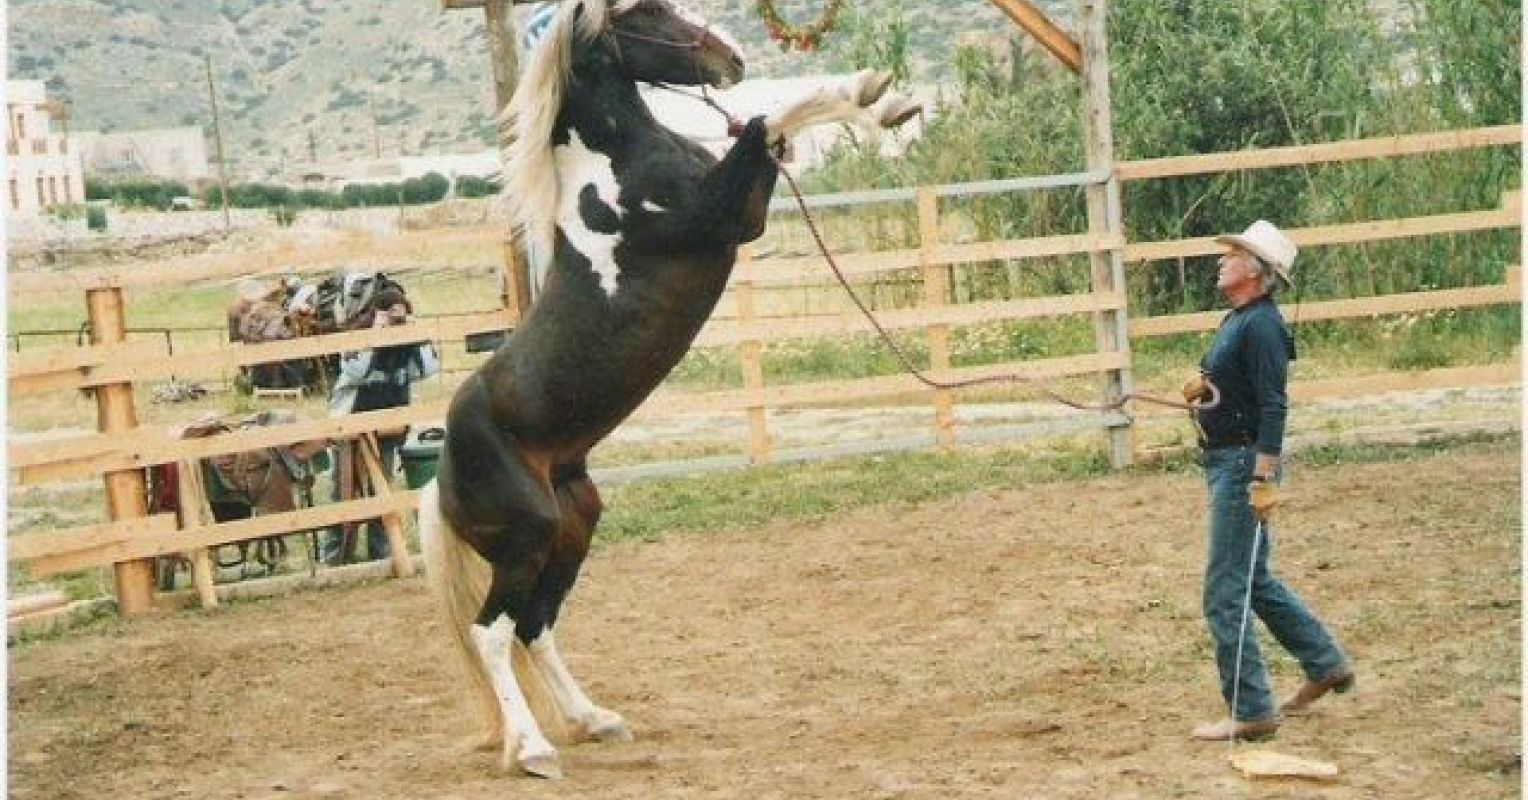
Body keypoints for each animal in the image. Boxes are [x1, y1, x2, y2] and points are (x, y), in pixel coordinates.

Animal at [417, 0, 919, 778]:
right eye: (642, 11)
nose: (729, 60)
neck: (614, 174)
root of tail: (437, 482)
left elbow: (770, 128)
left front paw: (882, 102)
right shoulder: (728, 217)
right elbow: (763, 125)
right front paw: (871, 94)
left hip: (572, 527)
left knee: (534, 625)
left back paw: (595, 719)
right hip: (526, 539)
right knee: (491, 633)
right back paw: (533, 750)